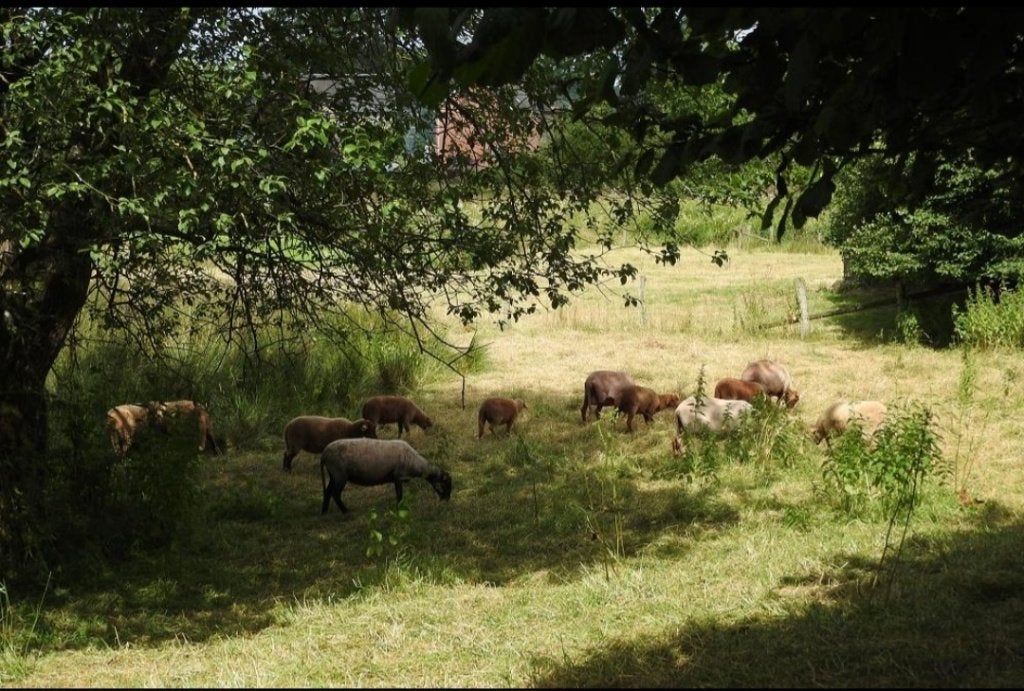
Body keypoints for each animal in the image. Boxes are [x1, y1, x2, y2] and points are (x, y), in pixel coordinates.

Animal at [319, 438, 452, 515]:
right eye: (445, 484)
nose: (446, 500)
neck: (416, 464)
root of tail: (324, 453)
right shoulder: (398, 476)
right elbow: (399, 495)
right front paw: (399, 509)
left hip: (333, 475)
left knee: (328, 491)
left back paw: (324, 511)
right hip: (340, 474)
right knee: (335, 494)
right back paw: (346, 511)